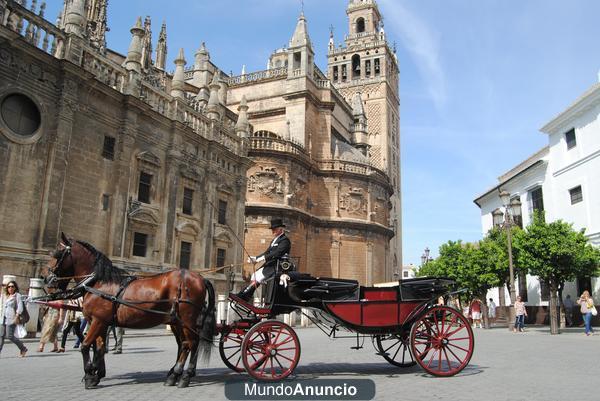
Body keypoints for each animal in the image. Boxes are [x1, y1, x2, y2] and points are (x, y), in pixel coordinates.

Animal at [45, 234, 218, 388]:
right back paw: (176, 375)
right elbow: (99, 348)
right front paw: (97, 374)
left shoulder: (98, 321)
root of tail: (200, 278)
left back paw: (182, 376)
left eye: (57, 254)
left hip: (187, 319)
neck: (99, 283)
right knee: (185, 344)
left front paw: (89, 375)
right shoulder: (101, 322)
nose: (47, 280)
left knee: (190, 343)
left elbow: (86, 345)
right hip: (177, 321)